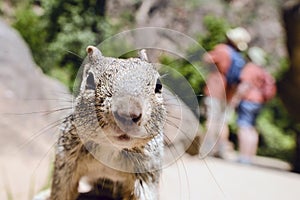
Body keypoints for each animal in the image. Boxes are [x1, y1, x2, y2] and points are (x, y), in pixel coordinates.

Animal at [47, 46, 166, 199]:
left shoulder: (146, 173)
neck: (111, 147)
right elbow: (62, 190)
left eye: (159, 85)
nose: (128, 113)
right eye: (89, 80)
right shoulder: (66, 162)